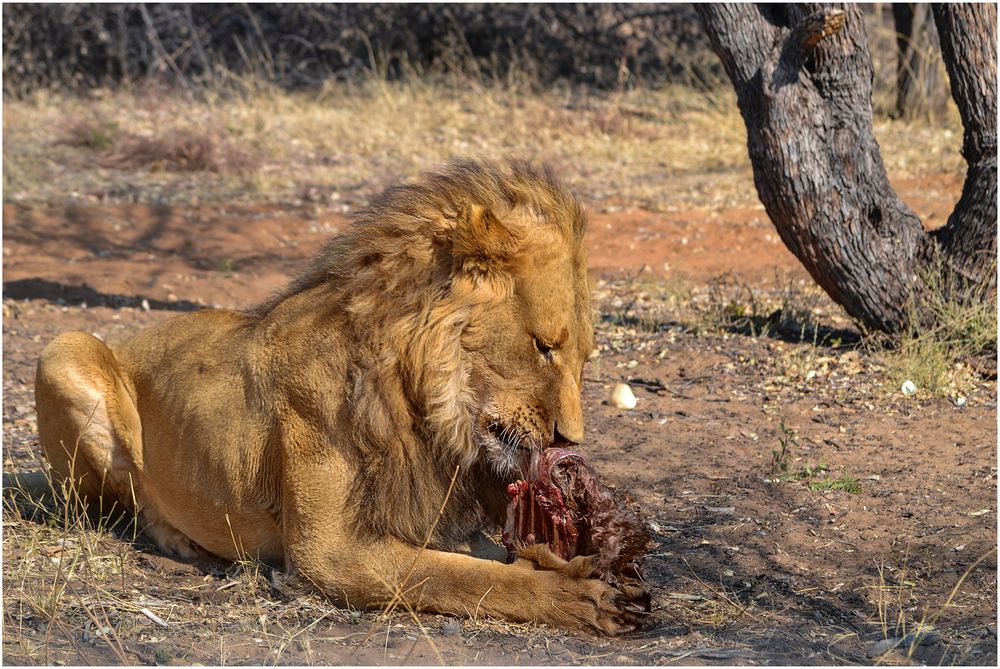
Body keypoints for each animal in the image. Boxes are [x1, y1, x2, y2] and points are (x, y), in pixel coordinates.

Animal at [33, 159, 648, 636]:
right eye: (544, 347)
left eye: (584, 358)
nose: (571, 440)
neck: (426, 405)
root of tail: (132, 337)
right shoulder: (328, 552)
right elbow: (463, 575)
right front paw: (577, 596)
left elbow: (494, 555)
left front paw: (573, 563)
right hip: (63, 349)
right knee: (131, 499)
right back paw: (182, 540)